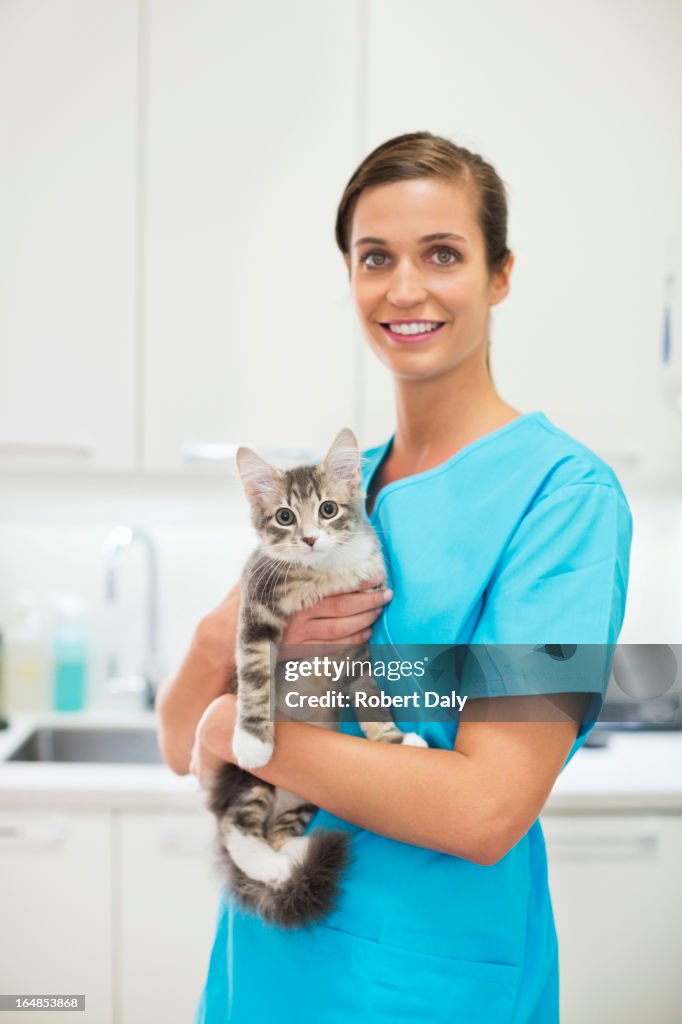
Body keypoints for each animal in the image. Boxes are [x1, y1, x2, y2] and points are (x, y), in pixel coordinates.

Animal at [205, 425, 425, 929]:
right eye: (284, 517)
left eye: (328, 509)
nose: (307, 539)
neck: (323, 574)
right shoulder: (254, 611)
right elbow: (254, 677)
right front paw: (253, 737)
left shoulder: (358, 649)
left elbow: (371, 698)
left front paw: (395, 741)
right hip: (248, 780)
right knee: (235, 825)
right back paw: (265, 861)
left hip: (309, 791)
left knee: (277, 830)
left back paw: (291, 855)